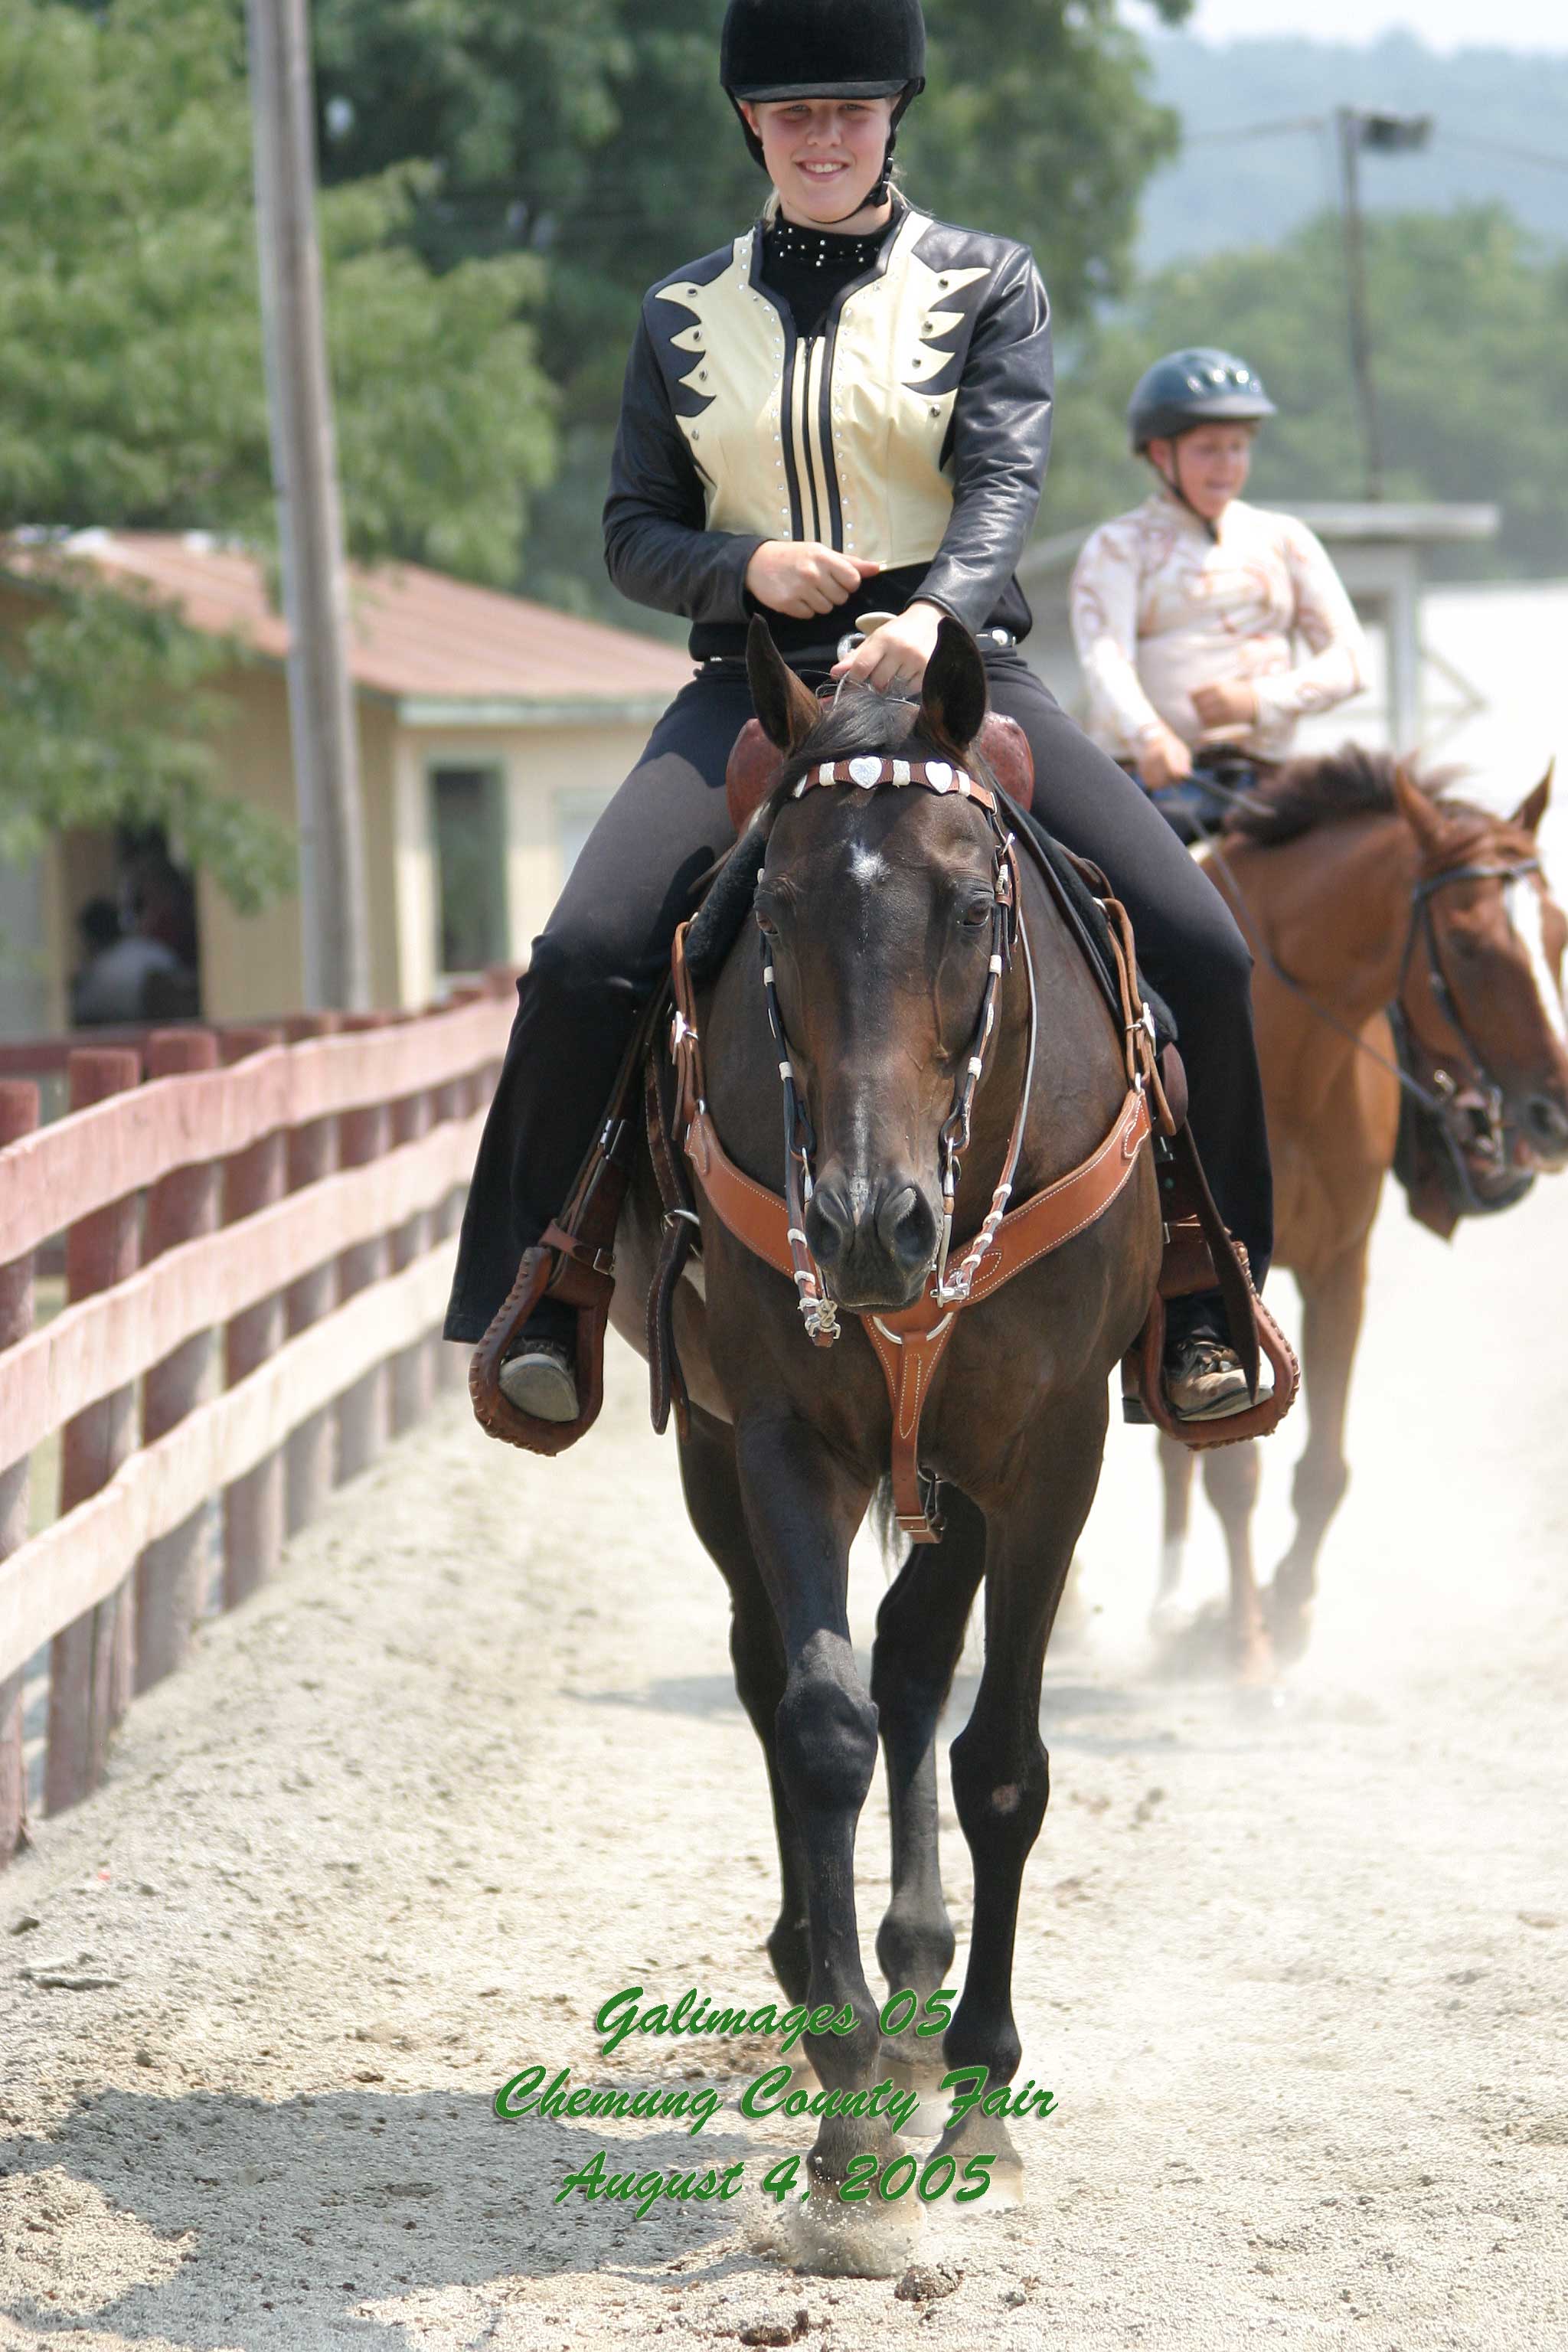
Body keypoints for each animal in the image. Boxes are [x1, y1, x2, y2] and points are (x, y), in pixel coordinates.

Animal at [602, 626, 1165, 2258]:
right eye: (778, 908)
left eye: (971, 906)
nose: (866, 1227)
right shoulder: (784, 1435)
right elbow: (819, 1721)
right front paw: (847, 2122)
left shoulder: (1050, 1452)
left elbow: (999, 1762)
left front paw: (976, 2087)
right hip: (713, 1450)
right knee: (774, 1672)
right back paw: (826, 1968)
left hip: (959, 1471)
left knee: (920, 1662)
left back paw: (920, 1990)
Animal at [1152, 747, 1568, 1674]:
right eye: (1466, 945)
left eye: (1557, 931)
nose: (1557, 1112)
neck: (1285, 1056)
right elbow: (1235, 1471)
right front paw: (1247, 1652)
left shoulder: (1341, 1265)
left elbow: (1321, 1471)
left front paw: (1290, 1607)